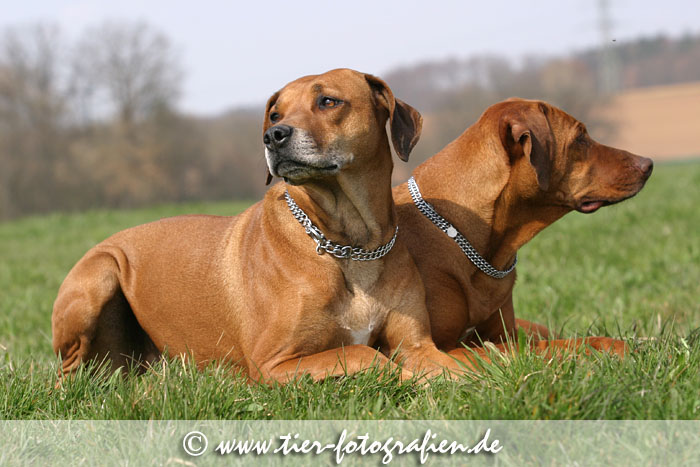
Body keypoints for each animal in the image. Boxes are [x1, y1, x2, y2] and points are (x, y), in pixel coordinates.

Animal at [53, 69, 470, 384]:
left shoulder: (417, 343)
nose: (274, 136)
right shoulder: (272, 362)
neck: (350, 243)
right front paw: (412, 380)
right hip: (99, 274)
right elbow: (363, 353)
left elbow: (453, 365)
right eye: (275, 114)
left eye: (328, 101)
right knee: (72, 377)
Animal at [392, 98, 652, 362]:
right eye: (580, 137)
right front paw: (613, 346)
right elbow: (554, 346)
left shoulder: (503, 332)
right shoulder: (445, 347)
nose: (648, 164)